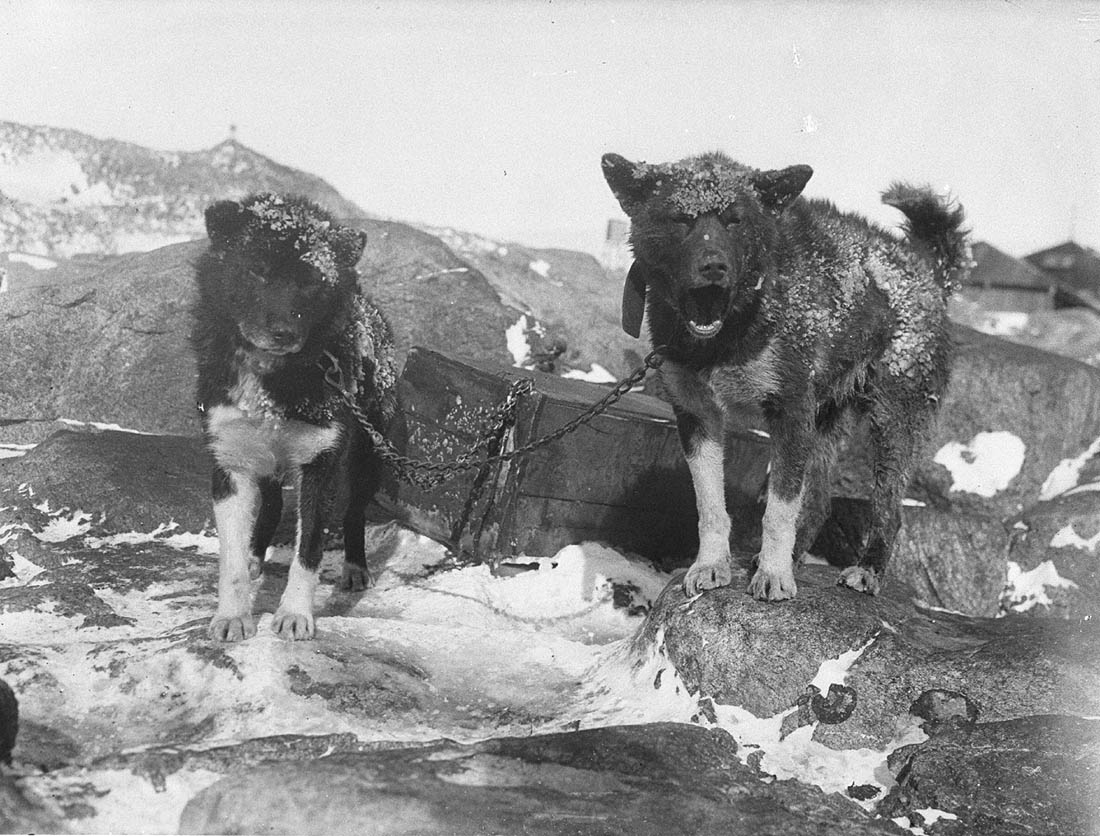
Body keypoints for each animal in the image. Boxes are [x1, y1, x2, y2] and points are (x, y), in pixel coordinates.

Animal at [602, 151, 972, 602]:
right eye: (680, 218)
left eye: (735, 220)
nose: (714, 266)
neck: (733, 329)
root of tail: (926, 270)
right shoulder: (697, 418)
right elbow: (711, 507)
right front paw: (711, 565)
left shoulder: (790, 416)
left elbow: (778, 512)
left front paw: (774, 575)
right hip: (825, 422)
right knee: (818, 503)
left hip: (890, 425)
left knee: (888, 510)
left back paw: (867, 570)